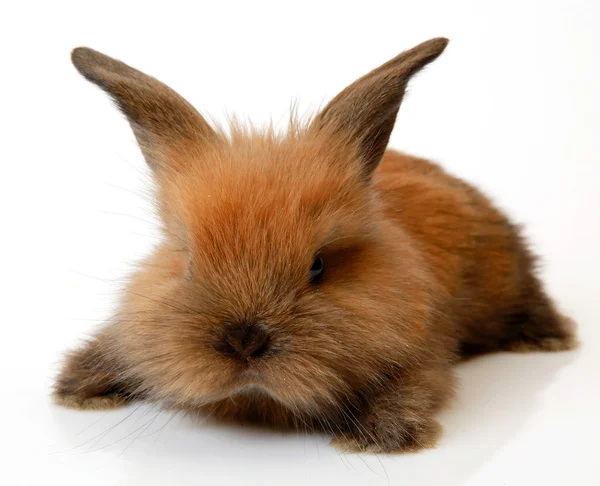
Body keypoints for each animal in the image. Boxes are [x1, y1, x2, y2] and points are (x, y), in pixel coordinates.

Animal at [54, 37, 580, 452]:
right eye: (187, 263)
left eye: (318, 267)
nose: (245, 341)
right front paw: (78, 388)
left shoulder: (426, 350)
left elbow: (418, 385)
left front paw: (377, 438)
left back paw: (548, 339)